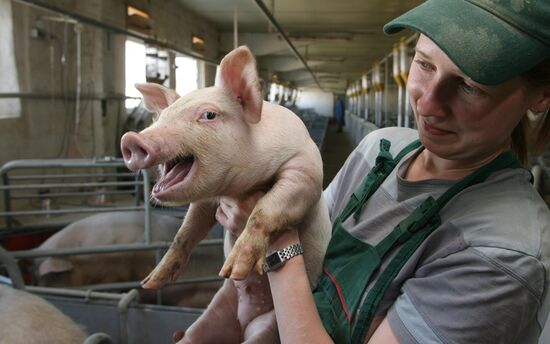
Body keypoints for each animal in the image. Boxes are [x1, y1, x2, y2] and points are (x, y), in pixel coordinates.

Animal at [119, 46, 332, 344]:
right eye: (161, 117)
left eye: (209, 115)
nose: (130, 139)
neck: (236, 189)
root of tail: (244, 322)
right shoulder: (207, 201)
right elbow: (185, 233)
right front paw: (150, 281)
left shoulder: (306, 169)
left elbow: (266, 208)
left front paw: (234, 269)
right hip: (219, 307)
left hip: (269, 328)